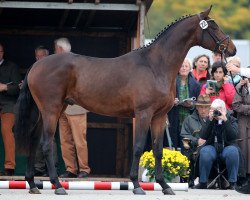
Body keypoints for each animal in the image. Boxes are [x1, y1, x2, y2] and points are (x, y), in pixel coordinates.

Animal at [14, 6, 236, 195]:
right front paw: (137, 185)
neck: (155, 65)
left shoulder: (159, 117)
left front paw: (165, 186)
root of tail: (36, 65)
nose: (231, 49)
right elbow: (138, 147)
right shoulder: (143, 114)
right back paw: (58, 185)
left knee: (34, 141)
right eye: (214, 26)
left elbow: (157, 150)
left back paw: (32, 184)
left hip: (44, 112)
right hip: (52, 110)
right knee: (46, 144)